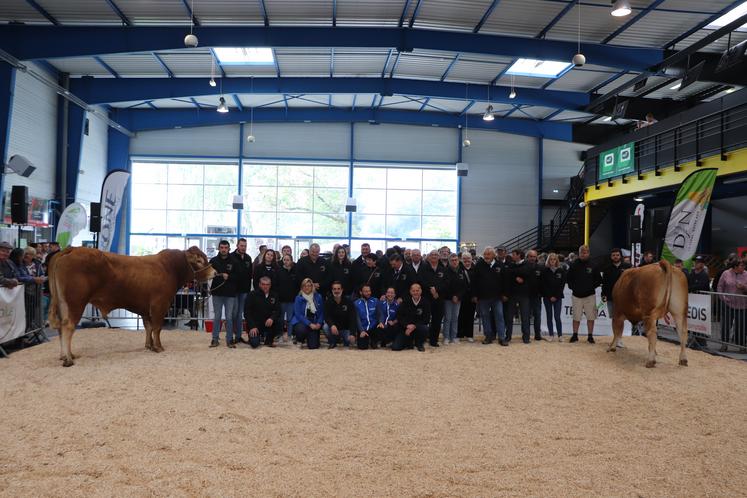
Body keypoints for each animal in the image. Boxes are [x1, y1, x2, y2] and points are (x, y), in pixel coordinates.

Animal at [49, 246, 216, 366]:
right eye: (199, 261)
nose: (214, 272)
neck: (170, 269)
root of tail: (73, 249)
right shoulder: (159, 305)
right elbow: (157, 328)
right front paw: (158, 347)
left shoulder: (145, 308)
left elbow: (148, 327)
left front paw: (149, 345)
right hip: (76, 303)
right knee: (68, 327)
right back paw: (68, 359)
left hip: (63, 304)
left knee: (61, 328)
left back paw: (65, 355)